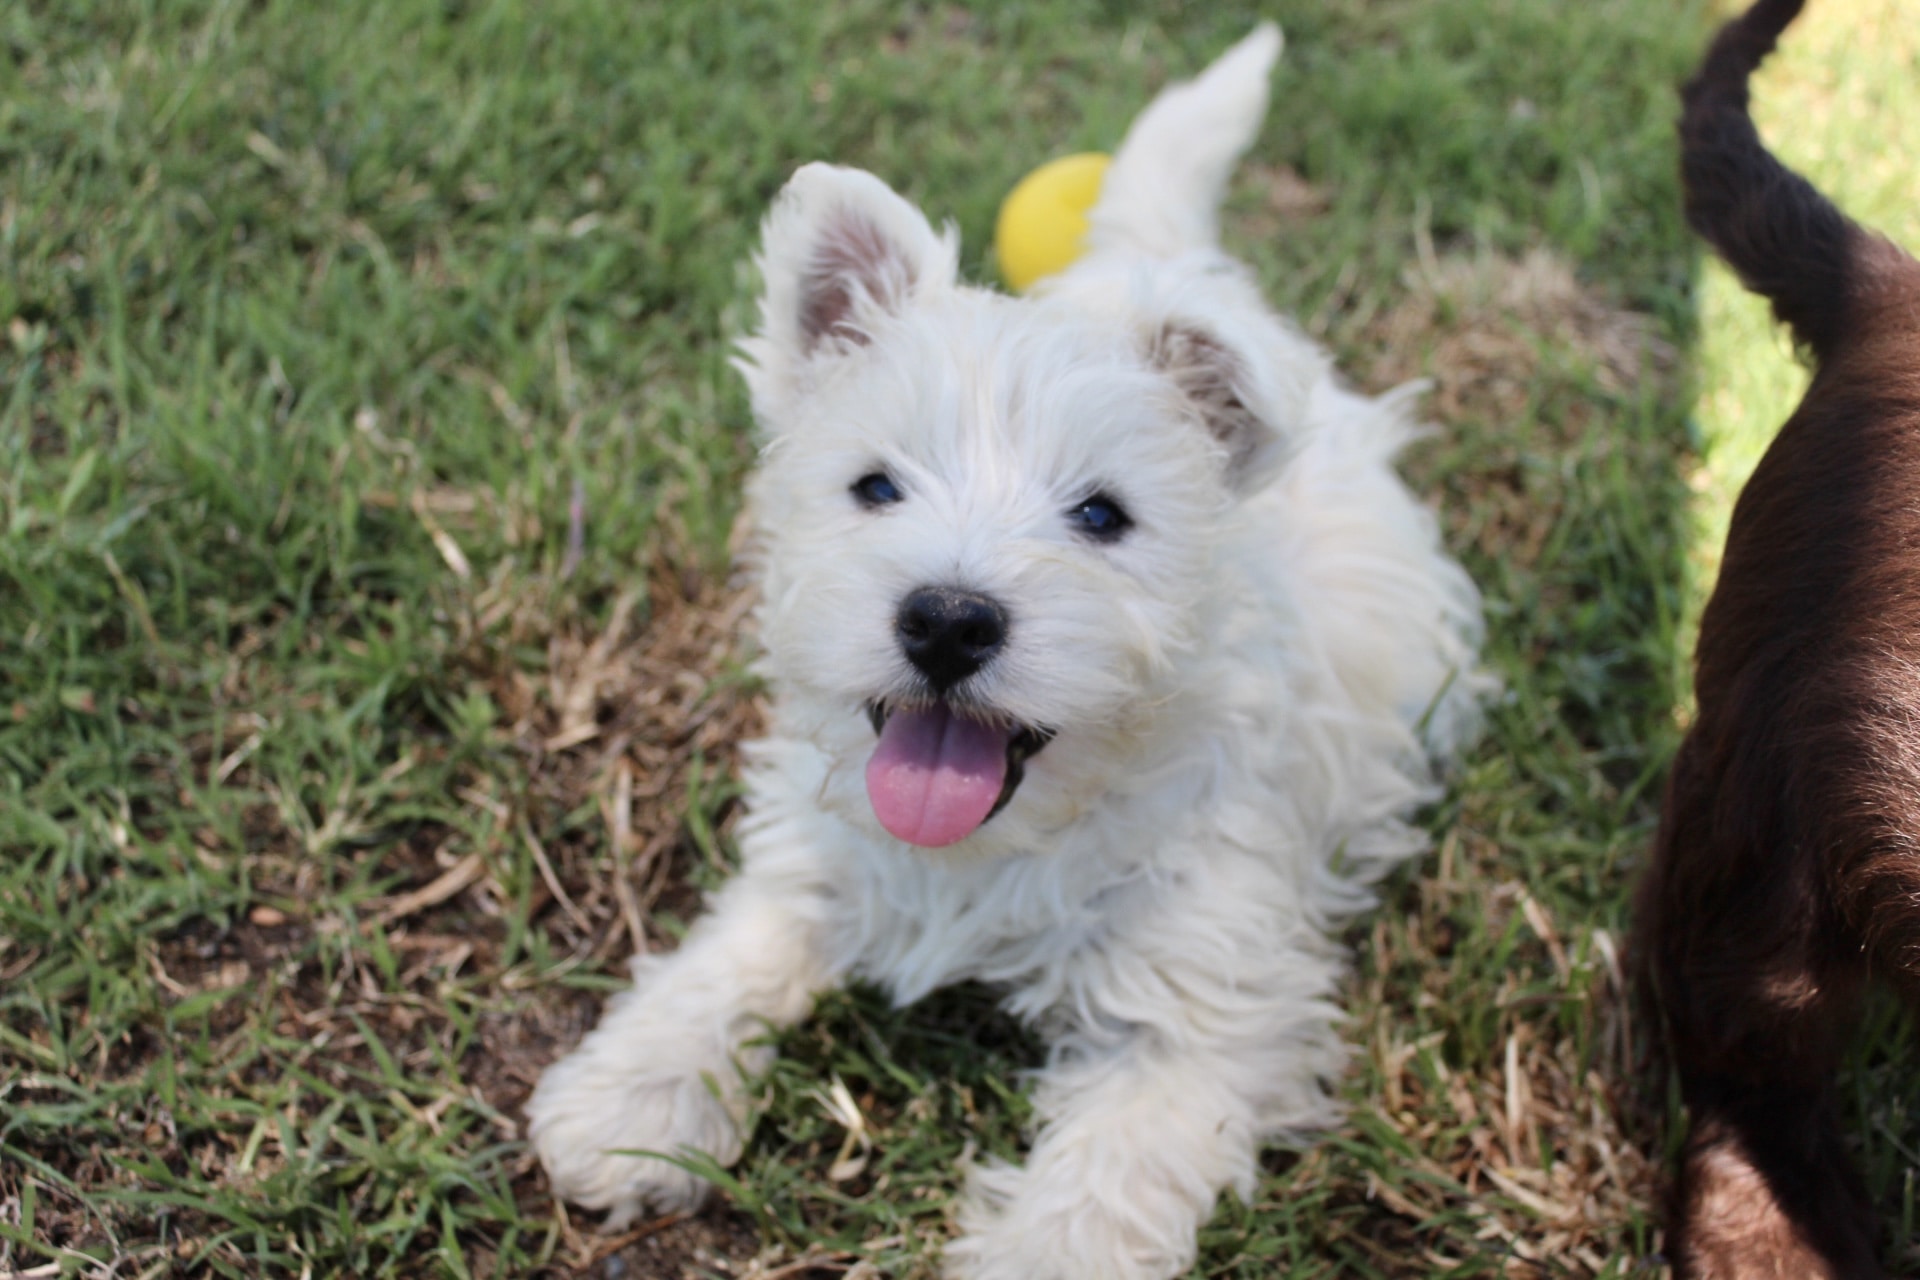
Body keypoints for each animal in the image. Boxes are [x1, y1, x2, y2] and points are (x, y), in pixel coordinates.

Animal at [533, 22, 1489, 1280]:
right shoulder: (814, 858)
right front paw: (632, 1097)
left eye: (1101, 514)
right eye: (875, 486)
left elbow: (1098, 1190)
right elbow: (731, 953)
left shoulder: (1199, 1013)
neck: (999, 841)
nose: (946, 619)